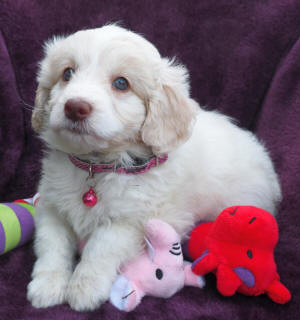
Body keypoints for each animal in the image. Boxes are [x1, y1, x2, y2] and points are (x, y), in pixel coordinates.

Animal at [27, 24, 282, 310]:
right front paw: (47, 286)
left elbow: (101, 247)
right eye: (67, 73)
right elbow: (52, 246)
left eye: (121, 83)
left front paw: (85, 289)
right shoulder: (51, 206)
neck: (96, 166)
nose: (74, 106)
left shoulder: (133, 220)